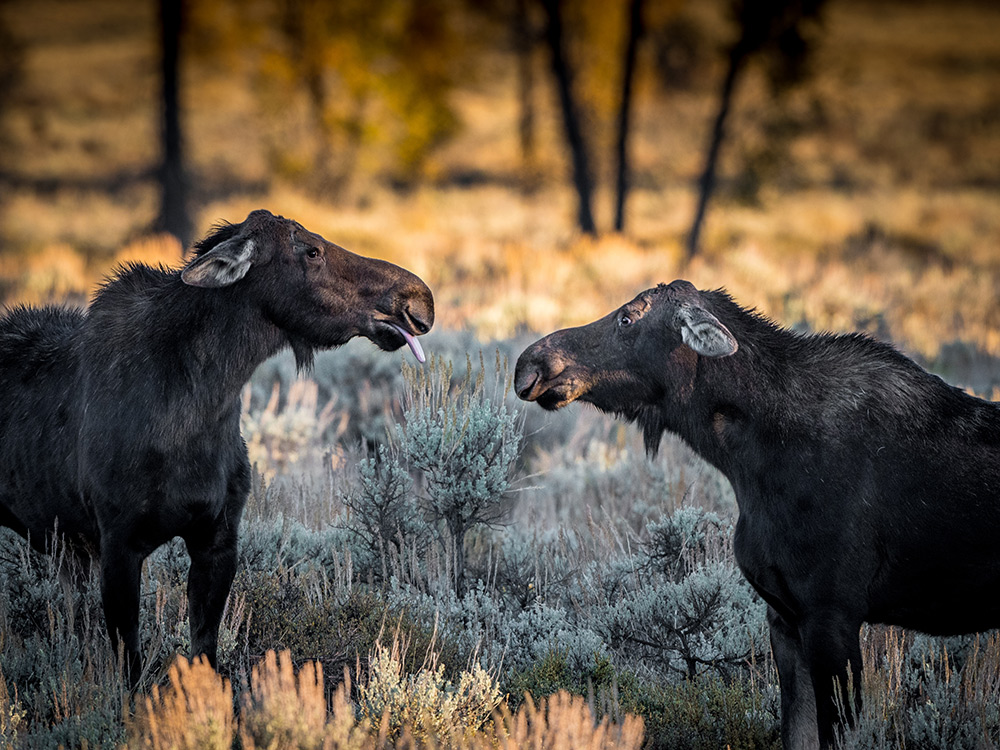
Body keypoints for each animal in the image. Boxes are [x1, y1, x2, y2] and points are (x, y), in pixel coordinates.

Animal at [0, 210, 434, 688]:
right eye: (311, 250)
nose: (419, 298)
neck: (201, 408)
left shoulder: (219, 537)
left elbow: (205, 654)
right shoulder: (117, 543)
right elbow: (130, 670)